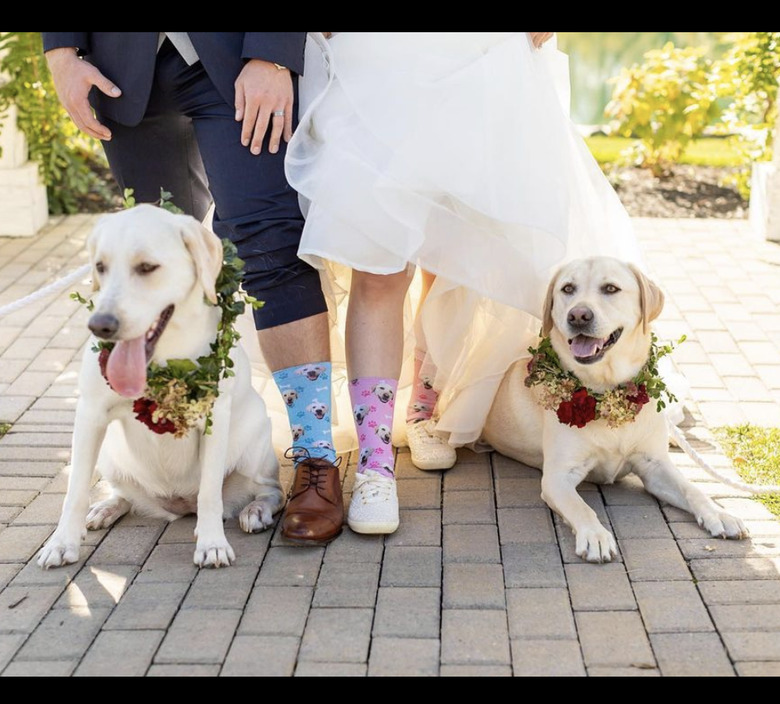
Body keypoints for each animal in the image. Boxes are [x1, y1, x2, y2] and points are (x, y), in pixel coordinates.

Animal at [38, 206, 284, 568]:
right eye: (100, 266)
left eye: (146, 267)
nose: (100, 326)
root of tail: (179, 505)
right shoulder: (90, 415)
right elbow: (76, 489)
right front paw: (61, 542)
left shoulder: (214, 420)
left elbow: (210, 492)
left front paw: (212, 544)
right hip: (109, 454)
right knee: (124, 495)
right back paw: (107, 507)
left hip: (257, 442)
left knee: (269, 490)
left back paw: (256, 510)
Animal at [482, 256, 748, 564]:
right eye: (568, 288)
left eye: (610, 288)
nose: (578, 316)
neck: (607, 391)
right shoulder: (557, 477)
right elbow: (582, 507)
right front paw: (595, 536)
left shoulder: (655, 466)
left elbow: (693, 489)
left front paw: (719, 513)